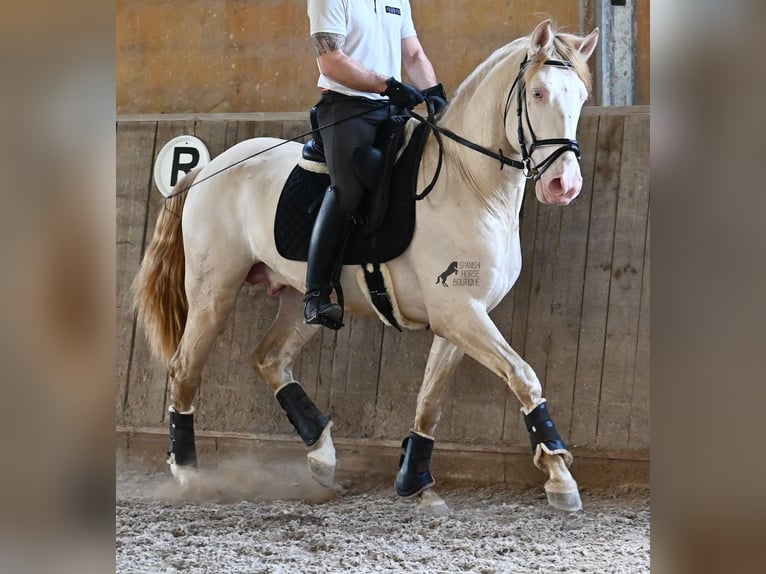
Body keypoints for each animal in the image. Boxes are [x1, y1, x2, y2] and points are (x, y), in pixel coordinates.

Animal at [135, 20, 604, 516]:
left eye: (580, 97)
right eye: (537, 92)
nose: (563, 185)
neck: (470, 185)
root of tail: (209, 168)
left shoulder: (461, 317)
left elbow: (430, 400)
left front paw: (416, 480)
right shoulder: (459, 314)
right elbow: (524, 377)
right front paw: (559, 475)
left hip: (300, 299)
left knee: (270, 358)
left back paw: (322, 457)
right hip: (213, 292)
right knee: (185, 369)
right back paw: (188, 474)